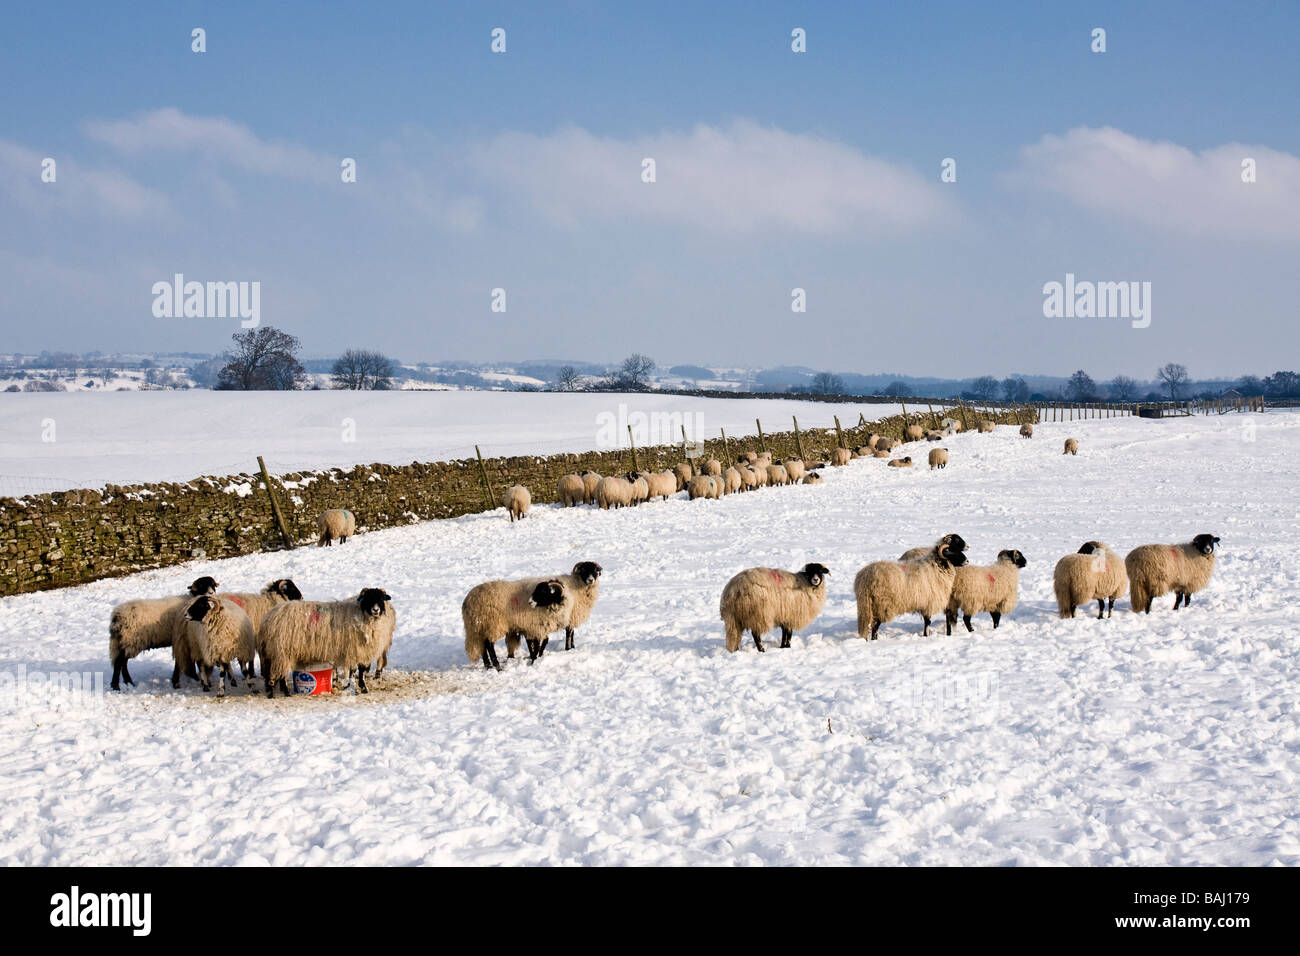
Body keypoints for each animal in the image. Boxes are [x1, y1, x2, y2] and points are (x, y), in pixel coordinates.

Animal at [262, 588, 395, 696]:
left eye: (381, 598)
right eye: (368, 598)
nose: (376, 610)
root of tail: (271, 615)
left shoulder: (362, 651)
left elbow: (361, 671)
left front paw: (363, 688)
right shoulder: (353, 650)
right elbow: (353, 671)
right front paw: (354, 688)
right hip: (282, 651)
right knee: (281, 673)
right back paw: (284, 692)